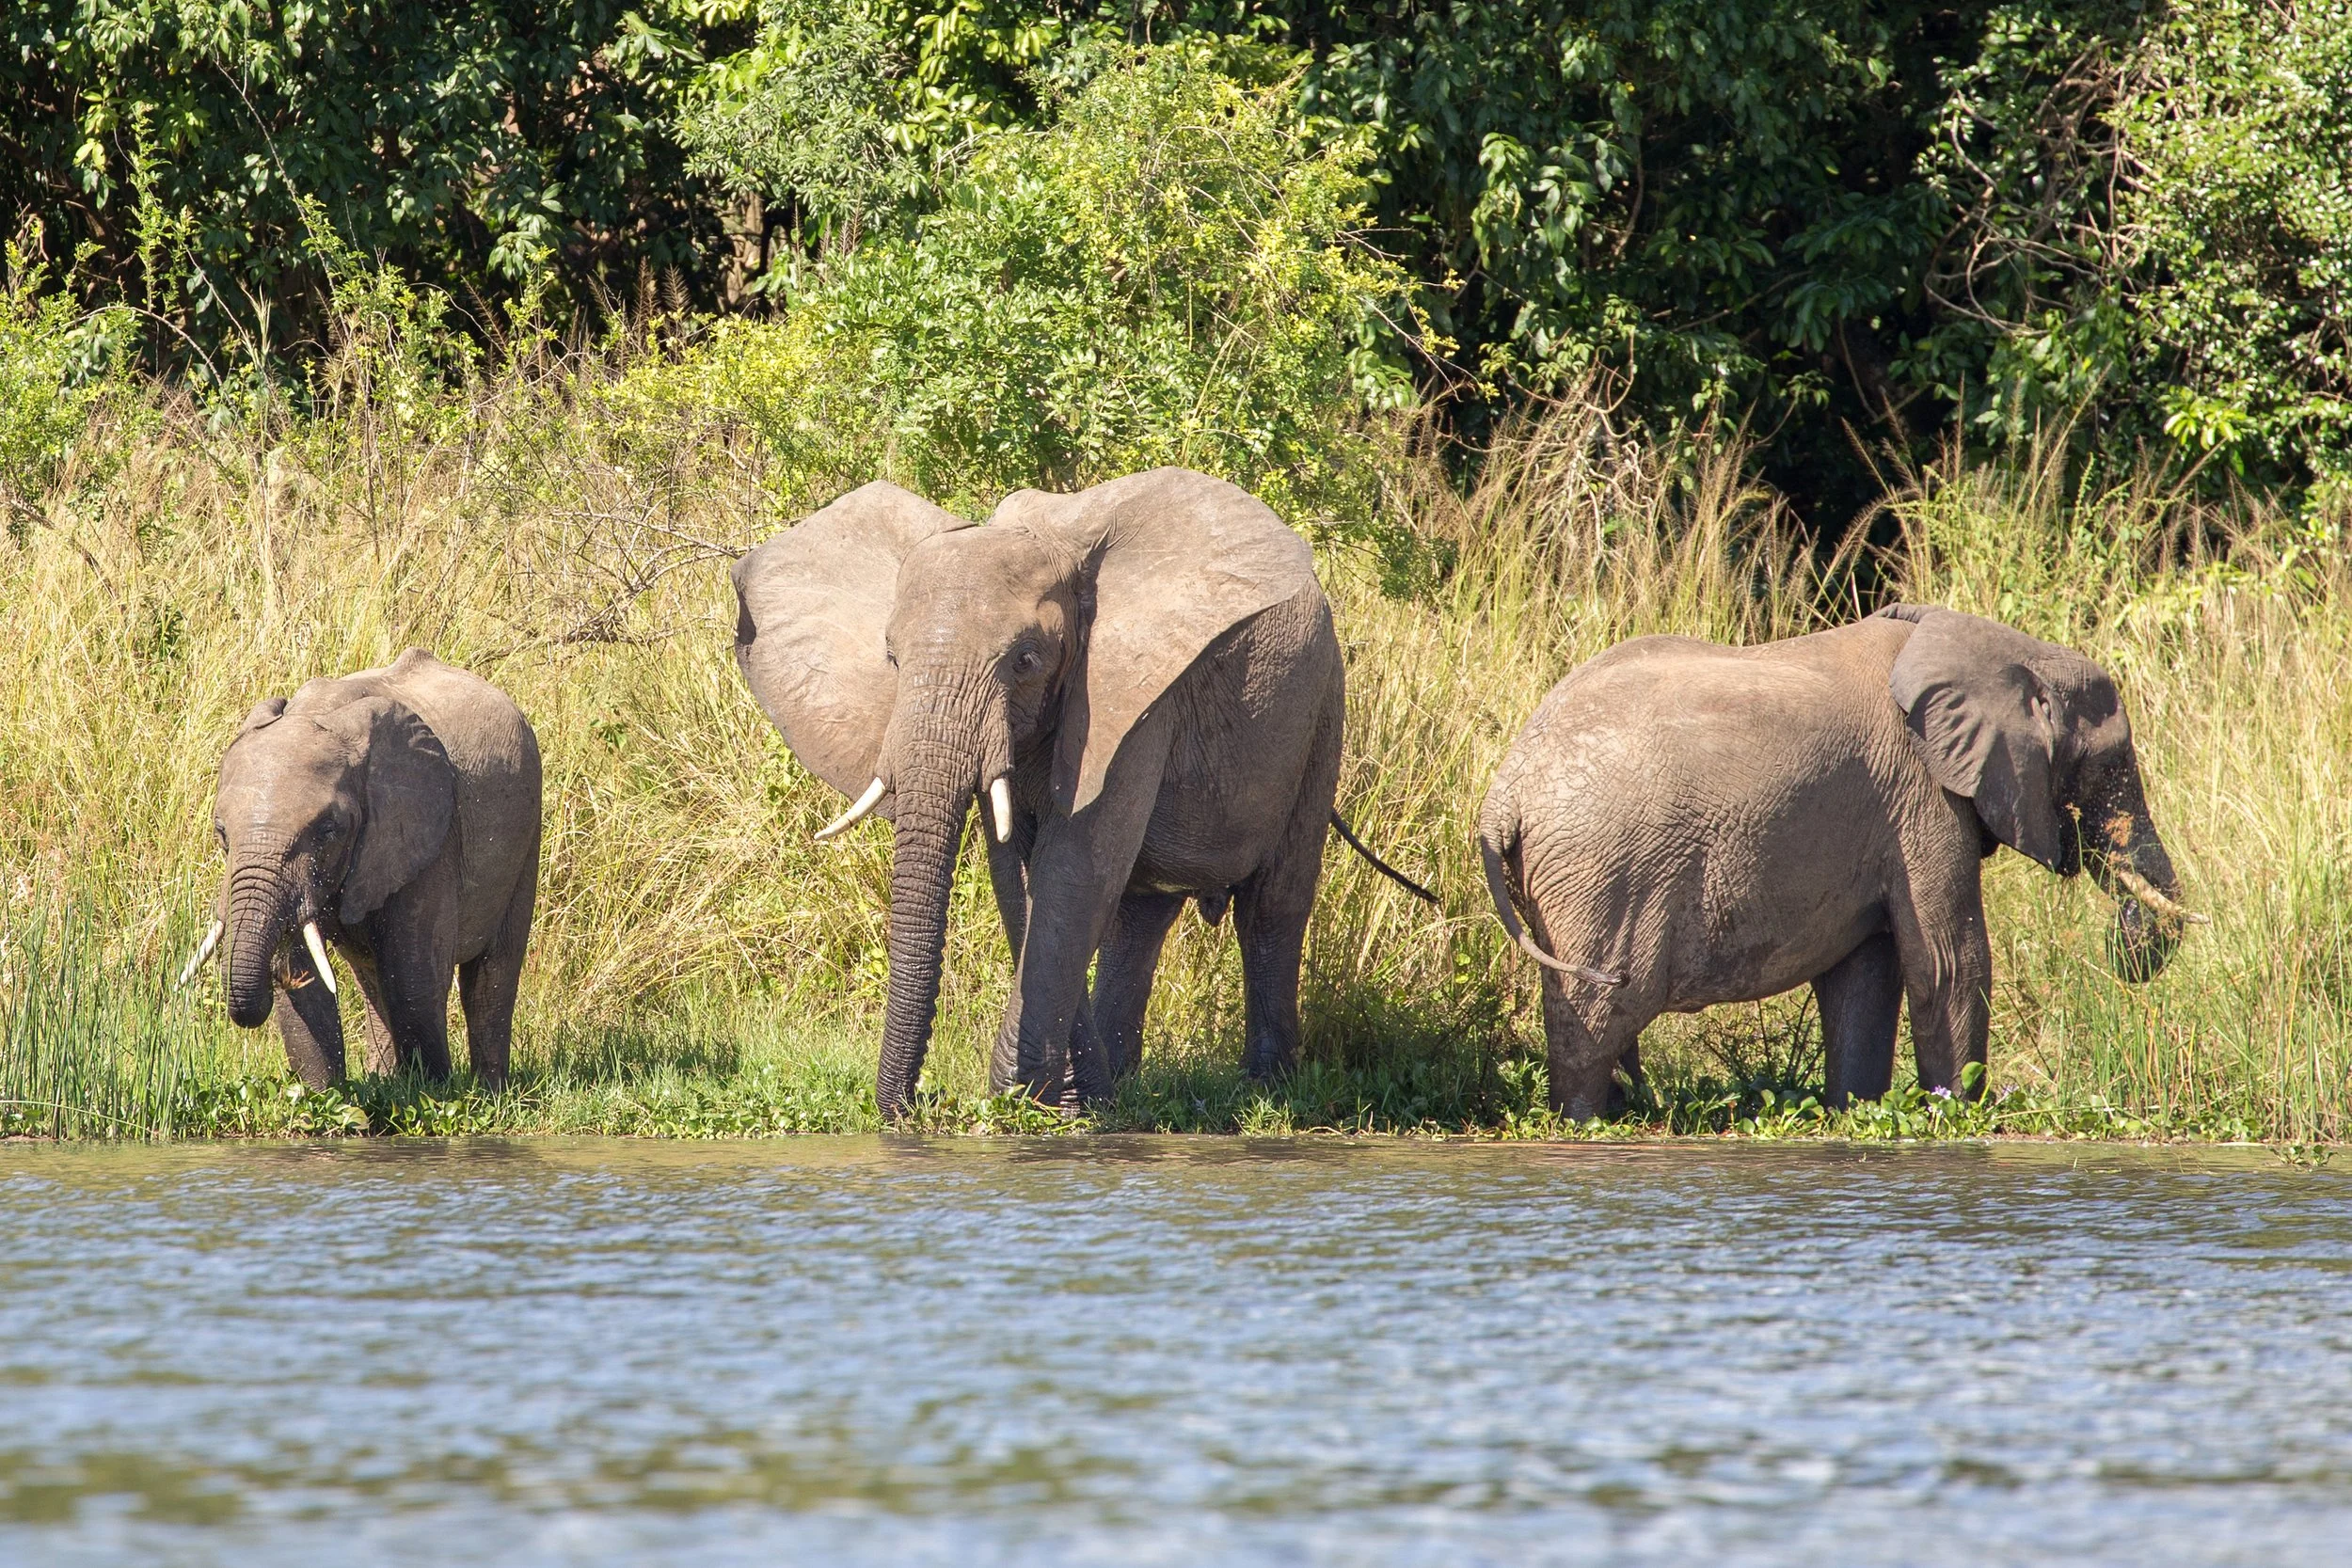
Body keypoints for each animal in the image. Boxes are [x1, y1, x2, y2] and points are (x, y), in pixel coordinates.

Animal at [181, 648, 542, 1090]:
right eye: (221, 833)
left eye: (327, 830)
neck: (320, 714)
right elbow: (305, 979)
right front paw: (326, 1099)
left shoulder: (429, 834)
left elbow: (414, 975)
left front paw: (433, 1096)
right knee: (372, 977)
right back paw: (385, 1079)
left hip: (527, 832)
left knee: (492, 973)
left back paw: (489, 1091)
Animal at [732, 467, 1432, 1118]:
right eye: (891, 658)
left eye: (1026, 660)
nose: (920, 1102)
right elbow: (1025, 878)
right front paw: (1073, 1103)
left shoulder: (1136, 699)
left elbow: (1074, 869)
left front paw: (1034, 1107)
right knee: (1140, 915)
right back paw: (1120, 1083)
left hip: (1320, 711)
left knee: (1271, 906)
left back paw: (1266, 1092)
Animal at [1477, 604, 2204, 1119]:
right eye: (2109, 767)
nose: (2126, 935)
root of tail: (1505, 789)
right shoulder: (1921, 797)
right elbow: (1947, 960)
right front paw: (1959, 1115)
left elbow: (1867, 974)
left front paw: (1854, 1113)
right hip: (1603, 872)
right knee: (1598, 1011)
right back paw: (1586, 1122)